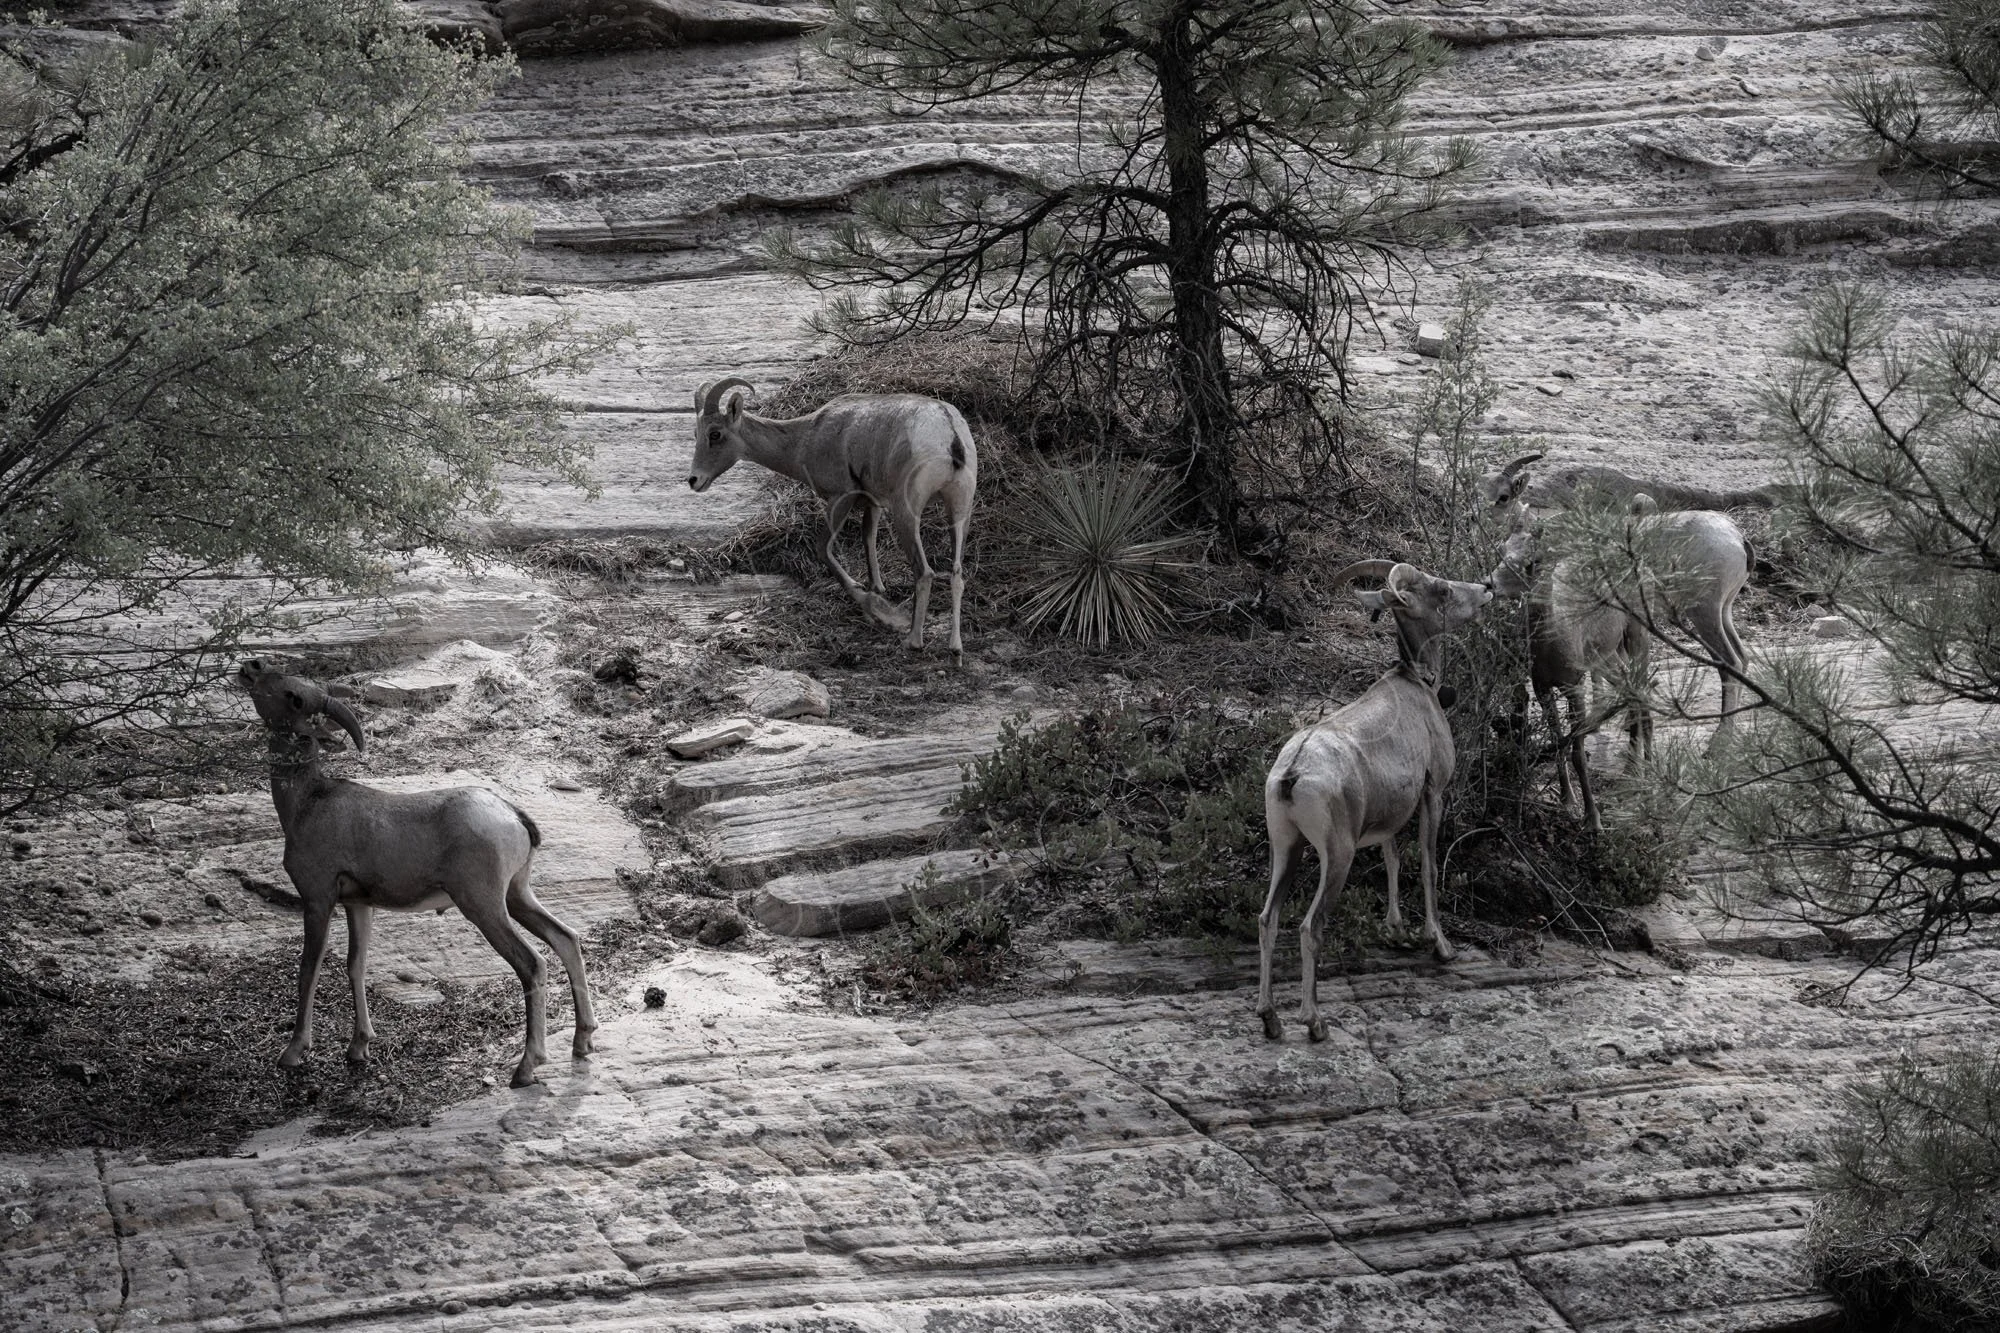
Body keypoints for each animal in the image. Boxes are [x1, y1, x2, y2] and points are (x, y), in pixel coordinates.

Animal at [237, 660, 595, 1089]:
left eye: (294, 696)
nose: (251, 667)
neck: (305, 804)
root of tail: (513, 816)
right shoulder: (358, 906)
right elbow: (355, 965)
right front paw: (359, 1048)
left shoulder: (318, 898)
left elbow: (309, 969)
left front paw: (293, 1053)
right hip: (518, 896)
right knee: (566, 938)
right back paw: (582, 1041)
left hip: (483, 906)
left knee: (533, 964)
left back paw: (525, 1068)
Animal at [685, 377, 978, 658]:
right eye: (697, 434)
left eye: (715, 434)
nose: (694, 480)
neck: (806, 438)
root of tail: (949, 433)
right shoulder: (873, 503)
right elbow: (868, 542)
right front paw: (877, 595)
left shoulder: (841, 498)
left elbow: (822, 550)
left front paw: (878, 610)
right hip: (959, 511)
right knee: (957, 573)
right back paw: (955, 647)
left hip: (907, 512)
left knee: (924, 572)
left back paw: (913, 641)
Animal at [1258, 560, 1492, 1042]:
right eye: (1442, 590)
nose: (1486, 589)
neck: (1419, 687)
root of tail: (1292, 776)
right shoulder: (1432, 794)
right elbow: (1427, 864)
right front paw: (1439, 945)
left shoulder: (1389, 817)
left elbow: (1392, 860)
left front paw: (1396, 931)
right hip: (1337, 856)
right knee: (1310, 926)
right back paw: (1315, 1023)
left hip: (1286, 848)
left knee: (1268, 920)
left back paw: (1270, 1019)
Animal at [1484, 499, 1752, 830]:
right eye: (1502, 548)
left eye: (1532, 560)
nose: (1489, 584)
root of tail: (1737, 538)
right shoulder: (1550, 681)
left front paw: (1592, 819)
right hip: (1722, 611)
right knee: (1740, 658)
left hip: (1700, 613)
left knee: (1727, 663)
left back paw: (1713, 747)